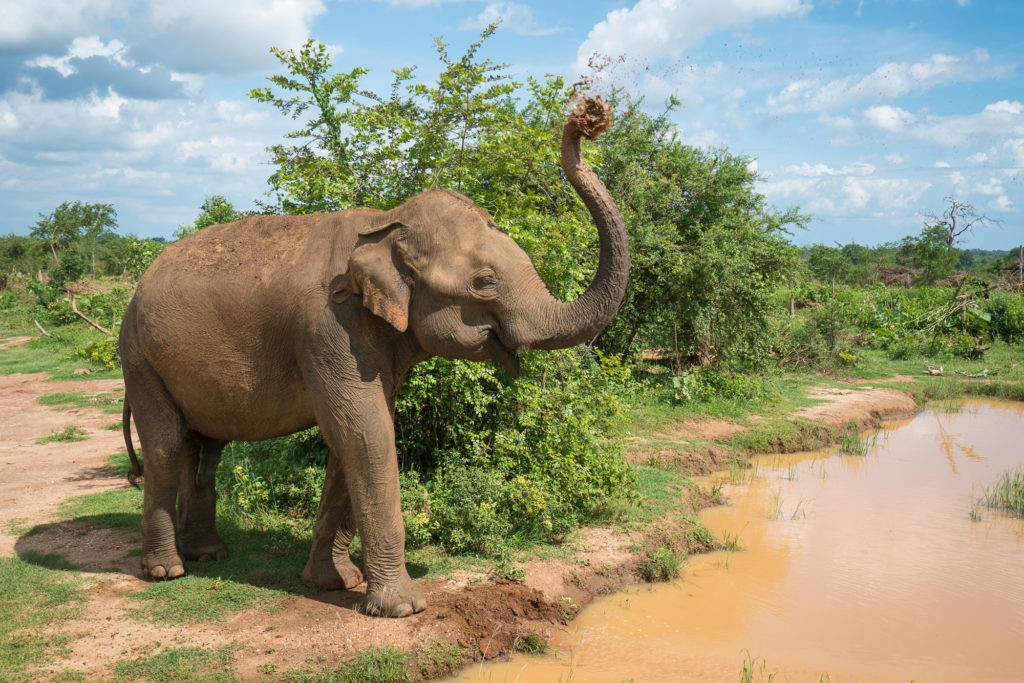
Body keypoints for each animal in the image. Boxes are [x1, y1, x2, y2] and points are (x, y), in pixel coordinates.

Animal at [119, 97, 630, 618]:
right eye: (484, 282)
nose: (587, 117)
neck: (388, 223)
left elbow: (355, 437)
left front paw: (334, 583)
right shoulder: (328, 328)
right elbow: (367, 433)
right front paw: (403, 608)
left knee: (206, 450)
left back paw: (207, 554)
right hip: (138, 356)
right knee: (167, 445)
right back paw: (166, 570)